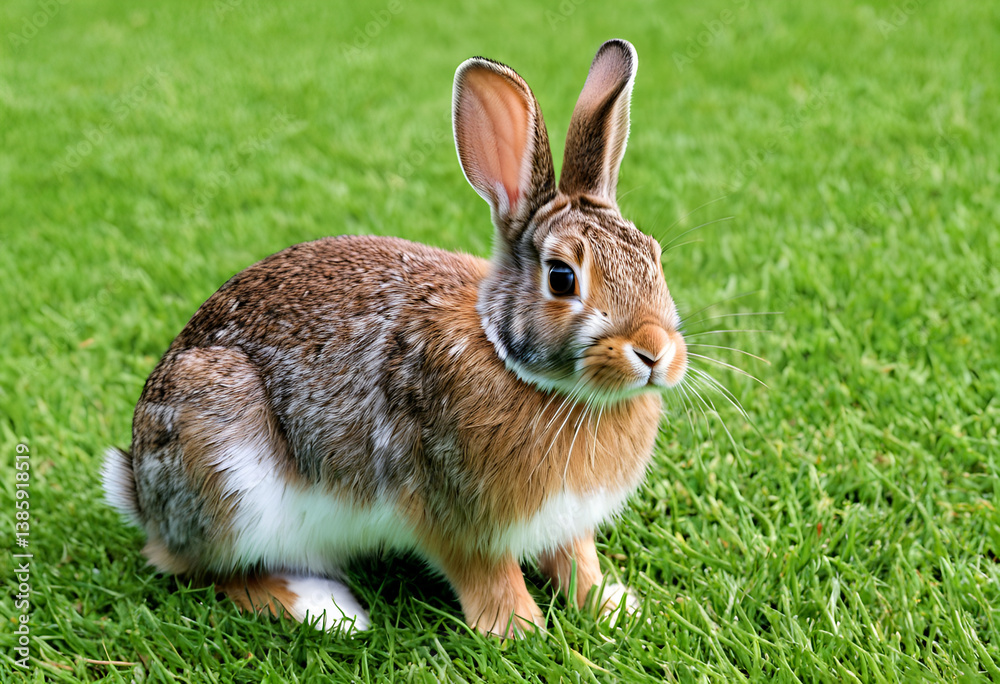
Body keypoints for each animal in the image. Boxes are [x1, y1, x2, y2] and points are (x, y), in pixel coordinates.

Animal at [102, 38, 688, 638]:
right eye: (562, 278)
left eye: (654, 256)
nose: (655, 351)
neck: (513, 361)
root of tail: (142, 494)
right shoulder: (450, 512)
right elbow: (487, 575)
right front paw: (518, 629)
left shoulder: (566, 522)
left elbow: (578, 562)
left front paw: (614, 608)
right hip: (226, 466)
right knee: (211, 572)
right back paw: (328, 609)